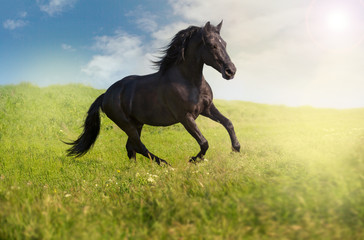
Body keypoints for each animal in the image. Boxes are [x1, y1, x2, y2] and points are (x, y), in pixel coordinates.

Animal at [66, 21, 242, 165]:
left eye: (225, 44)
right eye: (212, 45)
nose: (231, 71)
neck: (189, 82)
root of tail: (105, 95)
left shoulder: (207, 108)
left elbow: (228, 123)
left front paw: (236, 150)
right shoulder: (185, 117)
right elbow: (204, 142)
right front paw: (193, 160)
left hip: (137, 123)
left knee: (131, 147)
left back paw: (135, 169)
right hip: (126, 124)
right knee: (138, 146)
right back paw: (165, 164)